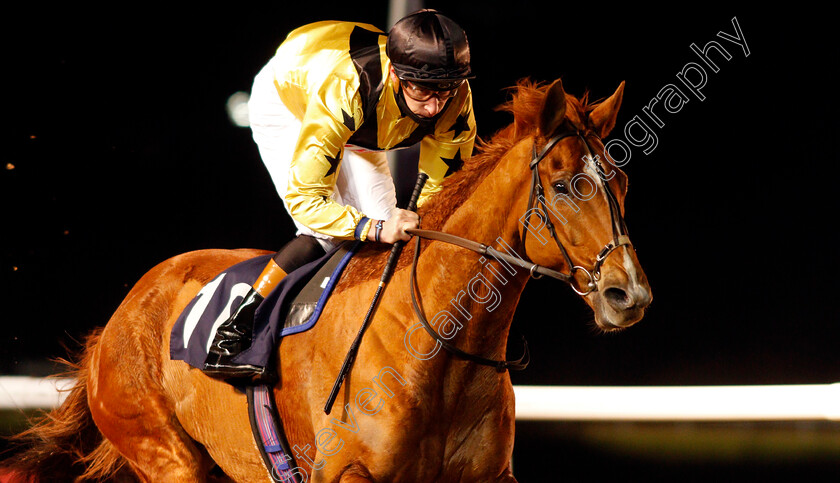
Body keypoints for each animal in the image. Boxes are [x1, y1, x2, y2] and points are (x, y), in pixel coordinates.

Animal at [4, 77, 648, 482]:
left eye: (619, 181)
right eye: (563, 185)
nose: (629, 294)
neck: (440, 344)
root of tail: (116, 321)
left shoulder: (490, 475)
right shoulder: (343, 471)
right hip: (162, 451)